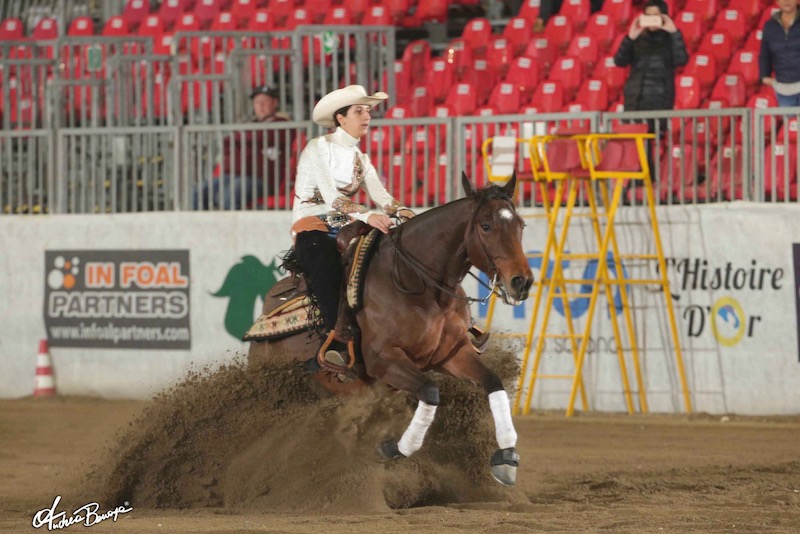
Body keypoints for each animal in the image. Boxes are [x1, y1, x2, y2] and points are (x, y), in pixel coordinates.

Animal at [248, 174, 532, 488]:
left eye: (521, 225)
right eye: (486, 225)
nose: (522, 282)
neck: (419, 284)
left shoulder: (452, 354)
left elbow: (493, 383)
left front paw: (506, 458)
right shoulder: (383, 360)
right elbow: (430, 392)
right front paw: (393, 448)